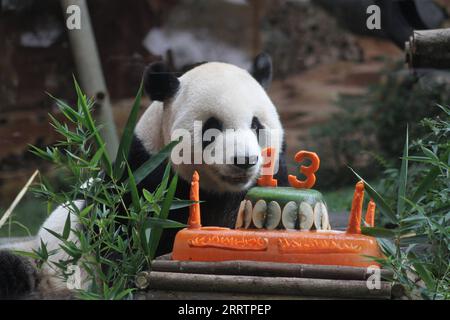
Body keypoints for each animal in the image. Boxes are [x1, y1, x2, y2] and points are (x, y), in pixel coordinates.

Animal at [0, 53, 286, 300]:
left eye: (256, 125)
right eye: (211, 127)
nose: (244, 161)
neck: (218, 190)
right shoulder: (142, 181)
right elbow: (122, 241)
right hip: (45, 260)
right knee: (17, 268)